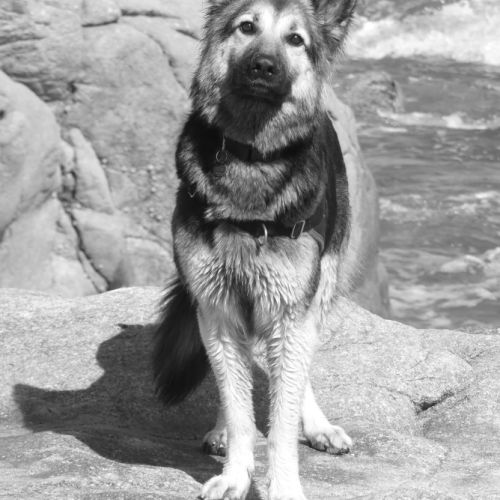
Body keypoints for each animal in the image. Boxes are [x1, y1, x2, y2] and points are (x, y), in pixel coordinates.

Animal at [153, 0, 358, 498]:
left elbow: (281, 418)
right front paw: (235, 474)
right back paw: (222, 431)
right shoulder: (217, 309)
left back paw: (318, 425)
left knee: (298, 375)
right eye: (247, 27)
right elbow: (238, 404)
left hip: (319, 290)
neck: (251, 155)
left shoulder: (290, 310)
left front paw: (282, 485)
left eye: (296, 39)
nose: (264, 66)